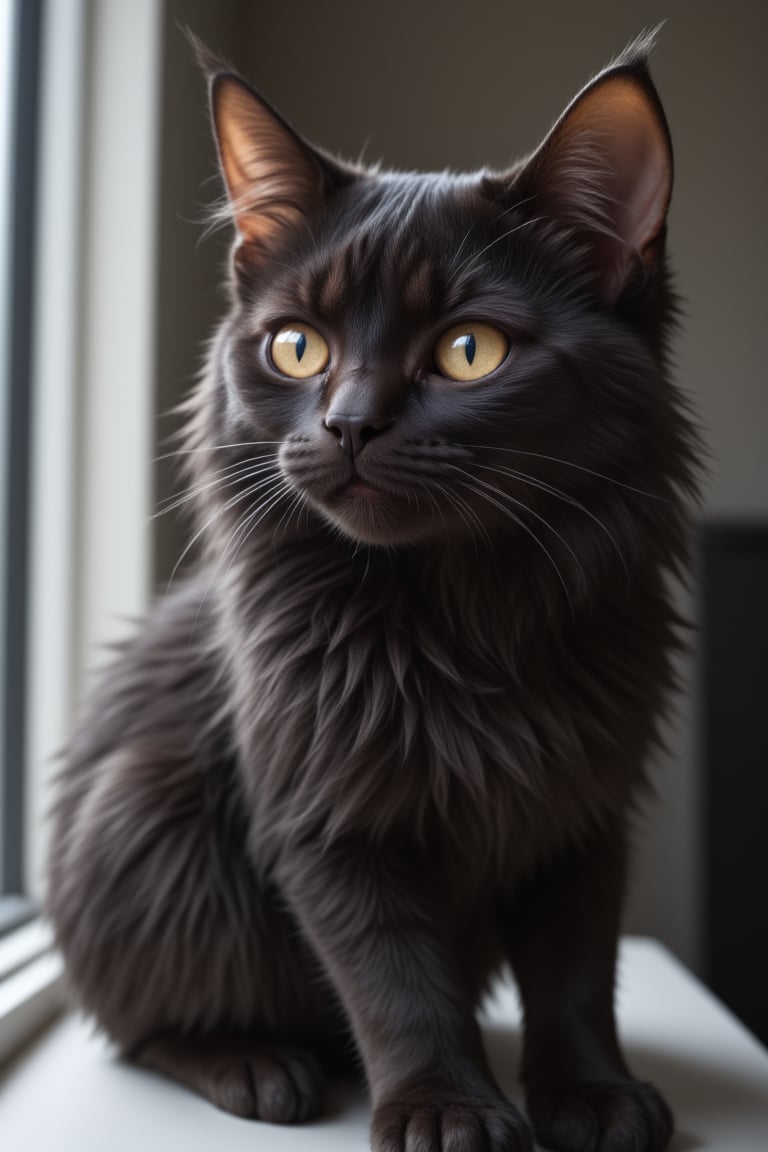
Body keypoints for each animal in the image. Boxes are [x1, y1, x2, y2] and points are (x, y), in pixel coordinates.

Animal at [46, 31, 695, 1147]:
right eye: (297, 346)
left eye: (470, 351)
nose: (347, 423)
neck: (463, 615)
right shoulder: (329, 818)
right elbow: (396, 979)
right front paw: (445, 1108)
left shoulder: (585, 811)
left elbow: (576, 970)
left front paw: (590, 1093)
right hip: (142, 823)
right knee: (142, 1030)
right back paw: (258, 1064)